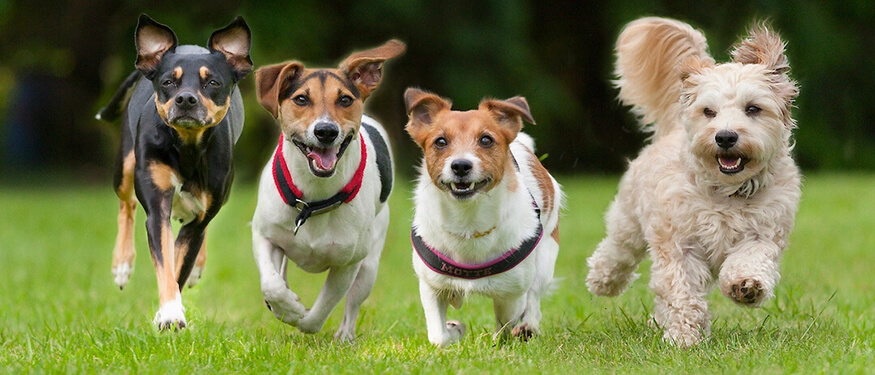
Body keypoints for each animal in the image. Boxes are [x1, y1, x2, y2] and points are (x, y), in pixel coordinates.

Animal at [97, 13, 253, 332]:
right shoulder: (157, 208)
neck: (187, 148)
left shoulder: (200, 217)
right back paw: (122, 264)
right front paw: (170, 313)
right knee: (126, 204)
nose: (186, 99)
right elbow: (166, 264)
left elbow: (180, 265)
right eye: (168, 82)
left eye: (213, 82)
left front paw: (169, 312)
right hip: (125, 166)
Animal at [252, 39, 406, 342]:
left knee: (353, 302)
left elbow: (320, 311)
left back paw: (345, 336)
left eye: (345, 99)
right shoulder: (264, 234)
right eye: (301, 99)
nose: (326, 131)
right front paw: (286, 306)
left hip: (369, 264)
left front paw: (299, 316)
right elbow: (271, 284)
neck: (313, 200)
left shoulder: (348, 263)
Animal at [406, 89, 564, 350]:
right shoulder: (430, 286)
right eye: (440, 142)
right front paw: (454, 330)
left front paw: (502, 338)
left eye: (486, 140)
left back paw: (528, 326)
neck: (468, 222)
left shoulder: (511, 294)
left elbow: (506, 324)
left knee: (534, 298)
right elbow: (438, 337)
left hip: (546, 257)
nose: (460, 165)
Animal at [588, 16, 800, 346]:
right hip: (630, 220)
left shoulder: (764, 233)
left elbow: (752, 258)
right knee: (618, 250)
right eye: (708, 111)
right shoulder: (679, 244)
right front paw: (684, 338)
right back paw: (603, 280)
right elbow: (681, 291)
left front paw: (746, 285)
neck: (727, 194)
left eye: (753, 108)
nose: (725, 136)